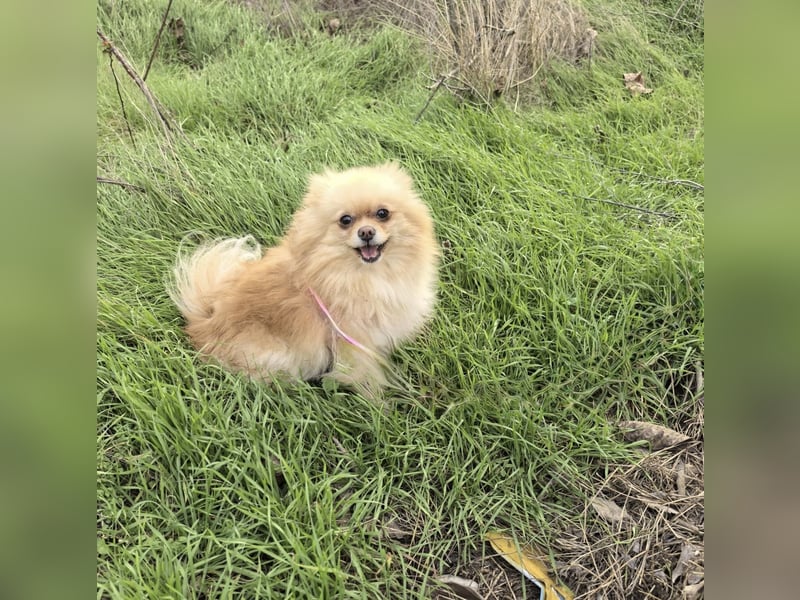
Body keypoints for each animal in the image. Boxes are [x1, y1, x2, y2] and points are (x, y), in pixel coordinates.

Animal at [169, 163, 439, 394]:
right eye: (345, 220)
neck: (365, 276)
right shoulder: (352, 341)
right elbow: (368, 380)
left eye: (383, 213)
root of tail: (203, 321)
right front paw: (381, 407)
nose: (366, 232)